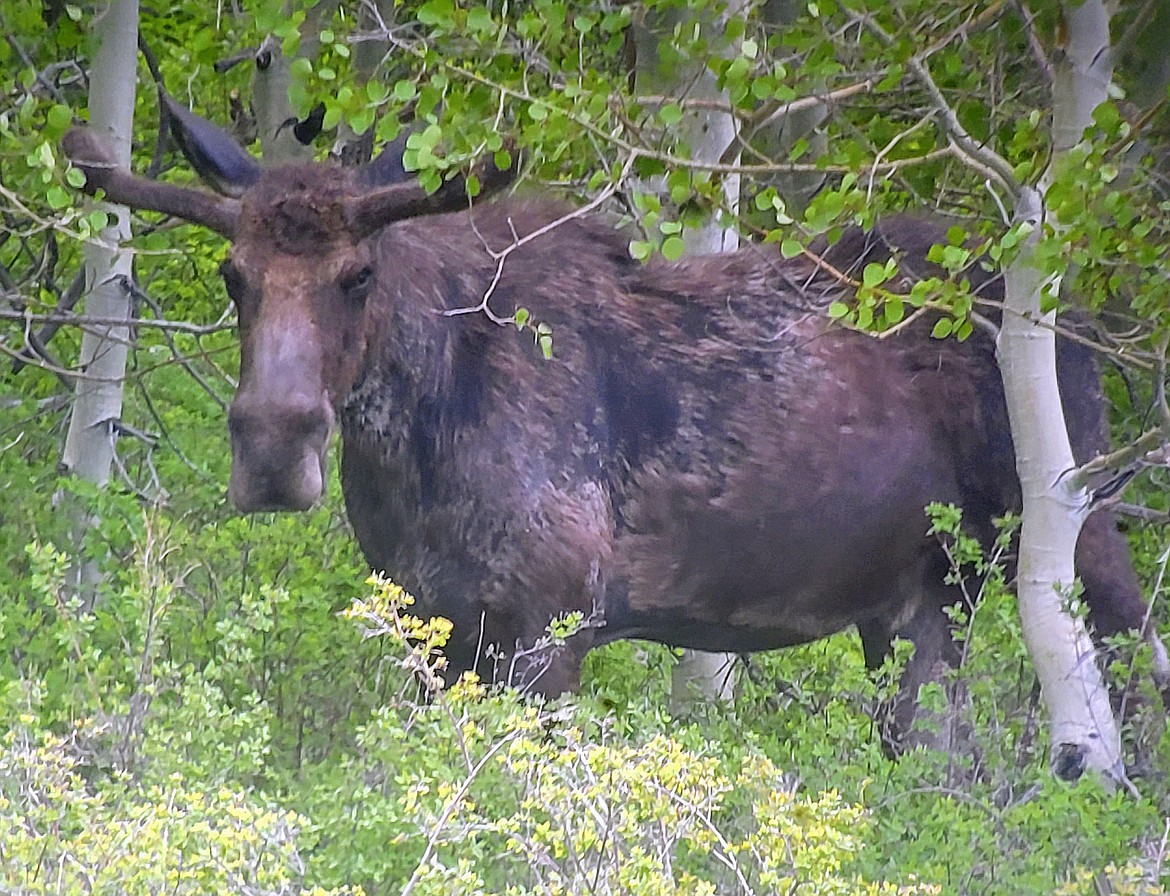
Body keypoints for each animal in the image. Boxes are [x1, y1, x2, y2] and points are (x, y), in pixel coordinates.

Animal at [66, 100, 1170, 748]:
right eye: (232, 275)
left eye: (358, 273)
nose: (271, 446)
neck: (410, 448)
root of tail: (1077, 313)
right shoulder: (438, 629)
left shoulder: (553, 621)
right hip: (918, 601)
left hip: (1078, 521)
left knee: (1129, 685)